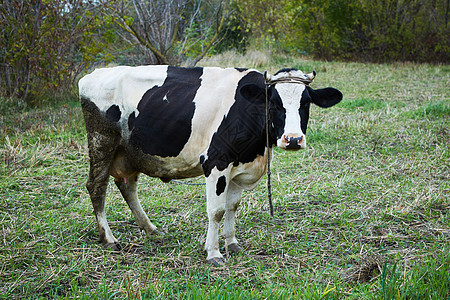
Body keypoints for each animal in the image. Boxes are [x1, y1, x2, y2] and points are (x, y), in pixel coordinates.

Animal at [79, 65, 342, 264]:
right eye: (274, 103)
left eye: (306, 103)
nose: (293, 139)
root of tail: (93, 74)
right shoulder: (216, 163)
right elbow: (216, 211)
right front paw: (214, 253)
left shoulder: (239, 167)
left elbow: (232, 207)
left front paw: (232, 244)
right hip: (102, 142)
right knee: (97, 187)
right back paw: (109, 239)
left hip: (131, 152)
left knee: (127, 186)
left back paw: (151, 229)